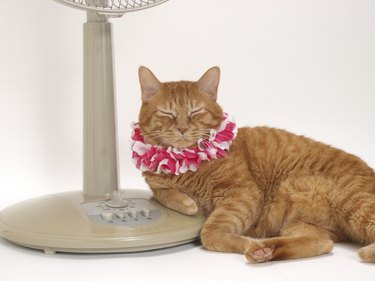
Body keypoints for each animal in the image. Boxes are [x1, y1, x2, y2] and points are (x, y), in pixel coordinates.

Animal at [135, 65, 375, 262]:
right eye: (167, 113)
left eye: (195, 111)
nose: (183, 128)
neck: (186, 166)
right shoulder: (156, 185)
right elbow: (164, 194)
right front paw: (188, 203)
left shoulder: (241, 194)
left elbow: (209, 234)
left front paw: (242, 240)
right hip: (301, 224)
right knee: (324, 244)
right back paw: (266, 250)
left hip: (354, 205)